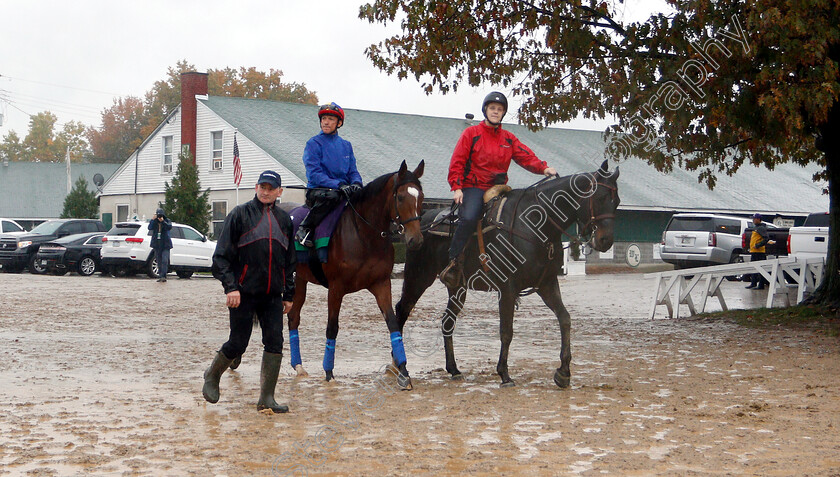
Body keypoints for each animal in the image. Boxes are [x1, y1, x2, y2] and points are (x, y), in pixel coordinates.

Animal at [286, 162, 426, 388]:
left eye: (421, 196)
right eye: (401, 197)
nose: (416, 240)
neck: (364, 236)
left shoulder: (381, 284)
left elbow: (393, 324)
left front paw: (403, 372)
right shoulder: (336, 288)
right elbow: (332, 327)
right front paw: (329, 372)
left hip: (299, 279)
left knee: (293, 317)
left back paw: (298, 366)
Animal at [394, 160, 616, 386]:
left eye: (616, 201)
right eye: (600, 198)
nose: (606, 241)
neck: (534, 223)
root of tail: (421, 223)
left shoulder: (547, 283)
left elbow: (565, 319)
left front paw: (563, 372)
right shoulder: (507, 288)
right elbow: (506, 331)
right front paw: (504, 373)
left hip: (457, 287)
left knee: (447, 321)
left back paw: (453, 369)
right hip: (418, 277)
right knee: (402, 311)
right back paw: (399, 367)